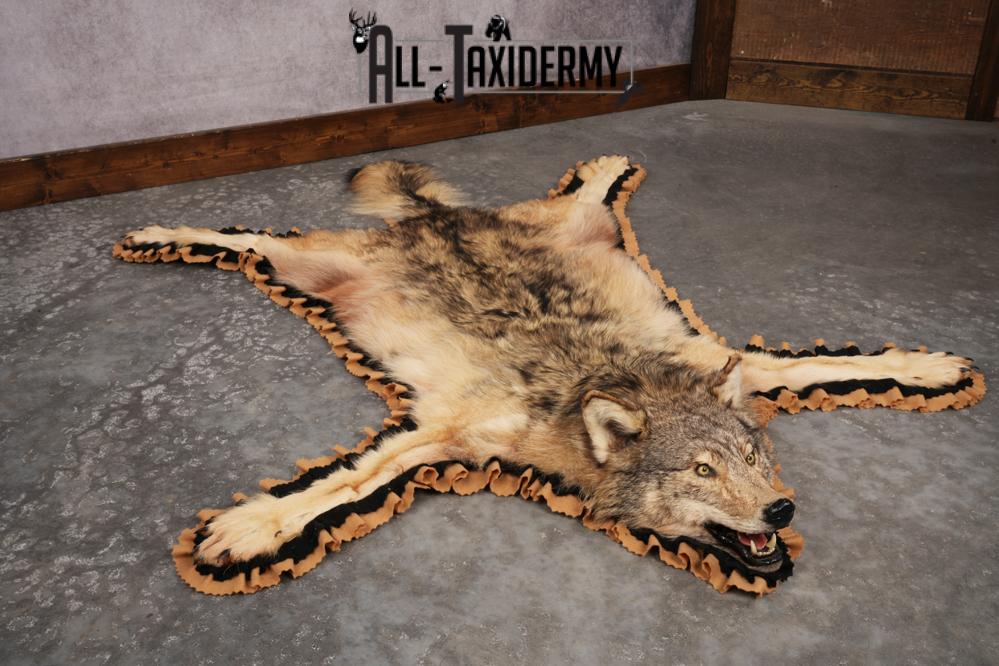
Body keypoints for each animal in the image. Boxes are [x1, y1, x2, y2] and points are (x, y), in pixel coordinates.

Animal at [115, 155, 975, 589]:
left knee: (586, 189)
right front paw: (249, 528)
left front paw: (931, 367)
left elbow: (833, 362)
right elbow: (344, 484)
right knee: (247, 236)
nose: (781, 512)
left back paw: (610, 162)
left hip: (582, 225)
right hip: (308, 266)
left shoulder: (729, 360)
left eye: (755, 458)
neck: (611, 379)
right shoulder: (435, 434)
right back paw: (150, 233)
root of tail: (438, 216)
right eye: (700, 470)